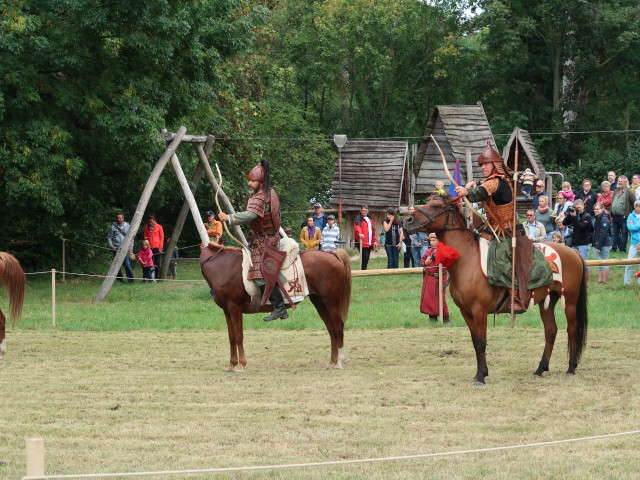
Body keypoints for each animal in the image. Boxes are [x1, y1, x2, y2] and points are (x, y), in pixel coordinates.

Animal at [404, 197, 592, 384]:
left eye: (435, 205)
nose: (407, 220)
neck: (467, 260)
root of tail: (573, 252)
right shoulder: (466, 311)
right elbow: (475, 341)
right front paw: (480, 372)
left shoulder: (479, 310)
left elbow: (481, 342)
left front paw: (481, 376)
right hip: (547, 301)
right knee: (551, 331)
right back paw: (540, 368)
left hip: (570, 301)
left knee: (572, 329)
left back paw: (571, 368)